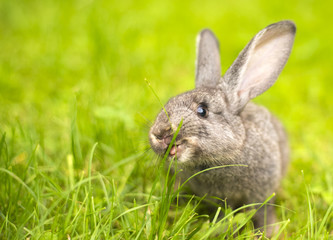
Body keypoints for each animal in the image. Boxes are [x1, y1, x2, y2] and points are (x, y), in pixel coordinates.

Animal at [149, 20, 294, 236]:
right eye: (168, 102)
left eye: (202, 110)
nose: (159, 134)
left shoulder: (262, 193)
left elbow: (263, 213)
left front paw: (269, 233)